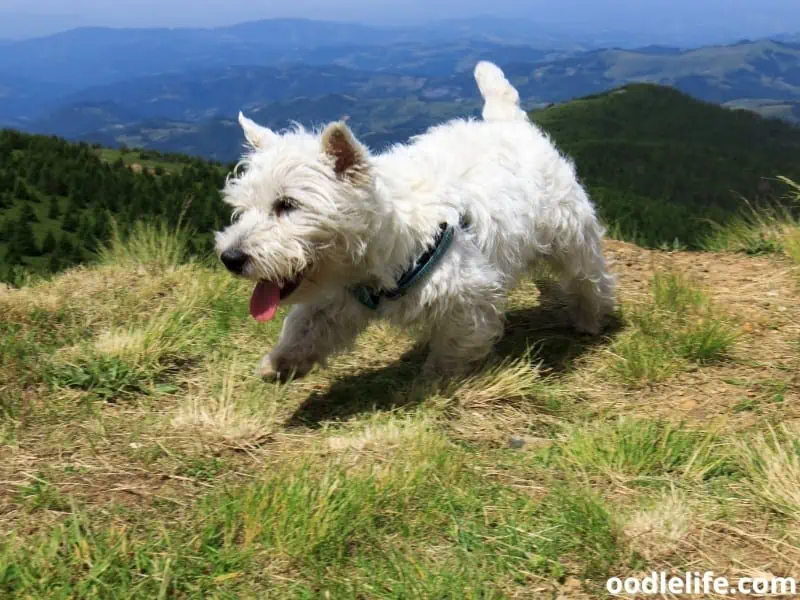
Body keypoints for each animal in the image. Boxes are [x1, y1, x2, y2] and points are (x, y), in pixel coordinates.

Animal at [216, 61, 616, 380]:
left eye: (287, 204)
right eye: (241, 207)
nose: (230, 258)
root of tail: (513, 124)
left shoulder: (468, 298)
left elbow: (454, 348)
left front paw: (432, 382)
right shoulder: (338, 299)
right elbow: (305, 327)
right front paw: (278, 363)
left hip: (570, 234)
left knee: (589, 277)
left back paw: (590, 319)